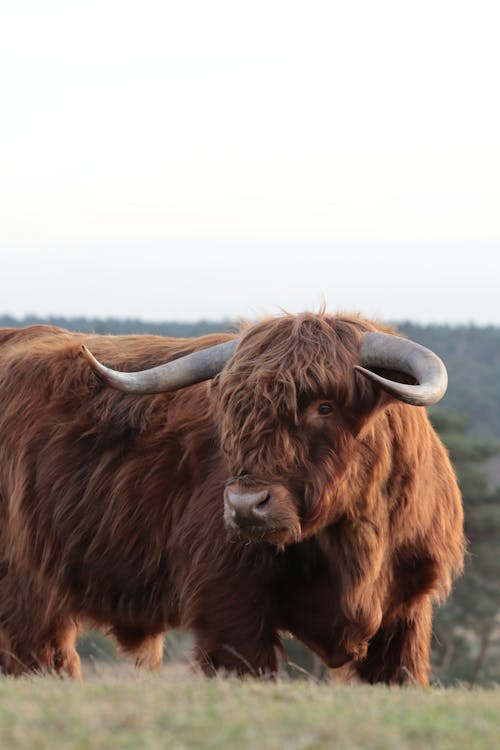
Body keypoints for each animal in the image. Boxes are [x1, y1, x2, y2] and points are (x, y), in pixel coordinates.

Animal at [0, 312, 464, 688]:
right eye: (233, 412)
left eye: (325, 407)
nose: (245, 505)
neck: (357, 544)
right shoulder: (229, 603)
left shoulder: (407, 614)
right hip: (26, 589)